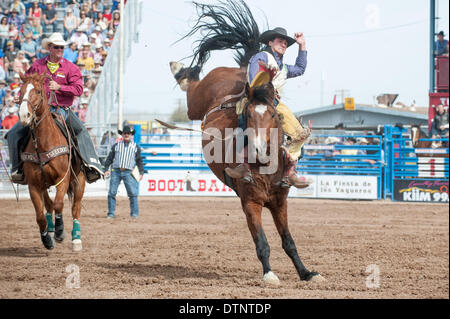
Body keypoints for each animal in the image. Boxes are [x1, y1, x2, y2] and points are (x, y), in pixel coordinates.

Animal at [17, 72, 86, 252]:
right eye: (20, 91)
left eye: (38, 91)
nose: (24, 116)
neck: (43, 143)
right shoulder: (33, 185)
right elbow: (40, 216)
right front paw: (47, 239)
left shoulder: (63, 178)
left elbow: (59, 204)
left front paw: (60, 232)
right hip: (44, 184)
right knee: (48, 205)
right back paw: (51, 229)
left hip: (79, 180)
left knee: (75, 208)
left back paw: (76, 239)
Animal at [167, 0, 322, 284]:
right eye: (248, 115)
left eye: (273, 114)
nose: (259, 148)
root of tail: (238, 69)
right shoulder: (250, 203)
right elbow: (262, 242)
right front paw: (269, 274)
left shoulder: (280, 201)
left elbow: (289, 242)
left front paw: (307, 273)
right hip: (196, 102)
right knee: (190, 87)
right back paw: (178, 69)